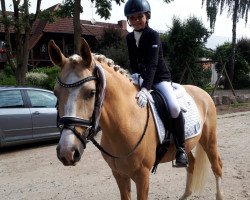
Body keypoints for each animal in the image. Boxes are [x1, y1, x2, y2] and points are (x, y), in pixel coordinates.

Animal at [47, 38, 224, 200]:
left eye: (91, 92)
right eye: (56, 93)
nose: (67, 152)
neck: (125, 123)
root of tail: (202, 92)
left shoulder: (142, 176)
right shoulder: (119, 174)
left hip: (209, 140)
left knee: (217, 166)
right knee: (191, 164)